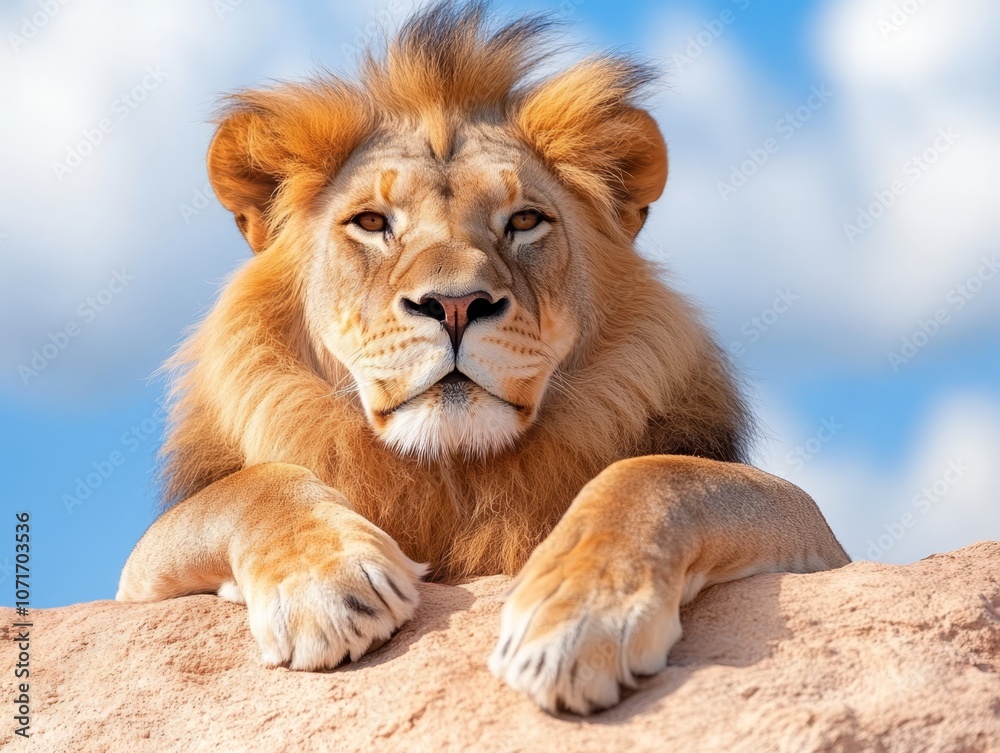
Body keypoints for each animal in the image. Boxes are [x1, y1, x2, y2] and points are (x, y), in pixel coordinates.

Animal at [117, 1, 849, 715]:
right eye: (372, 222)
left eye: (523, 220)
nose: (455, 305)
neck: (455, 475)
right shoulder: (136, 578)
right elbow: (247, 487)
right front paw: (327, 588)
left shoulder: (818, 532)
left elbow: (659, 475)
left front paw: (577, 621)